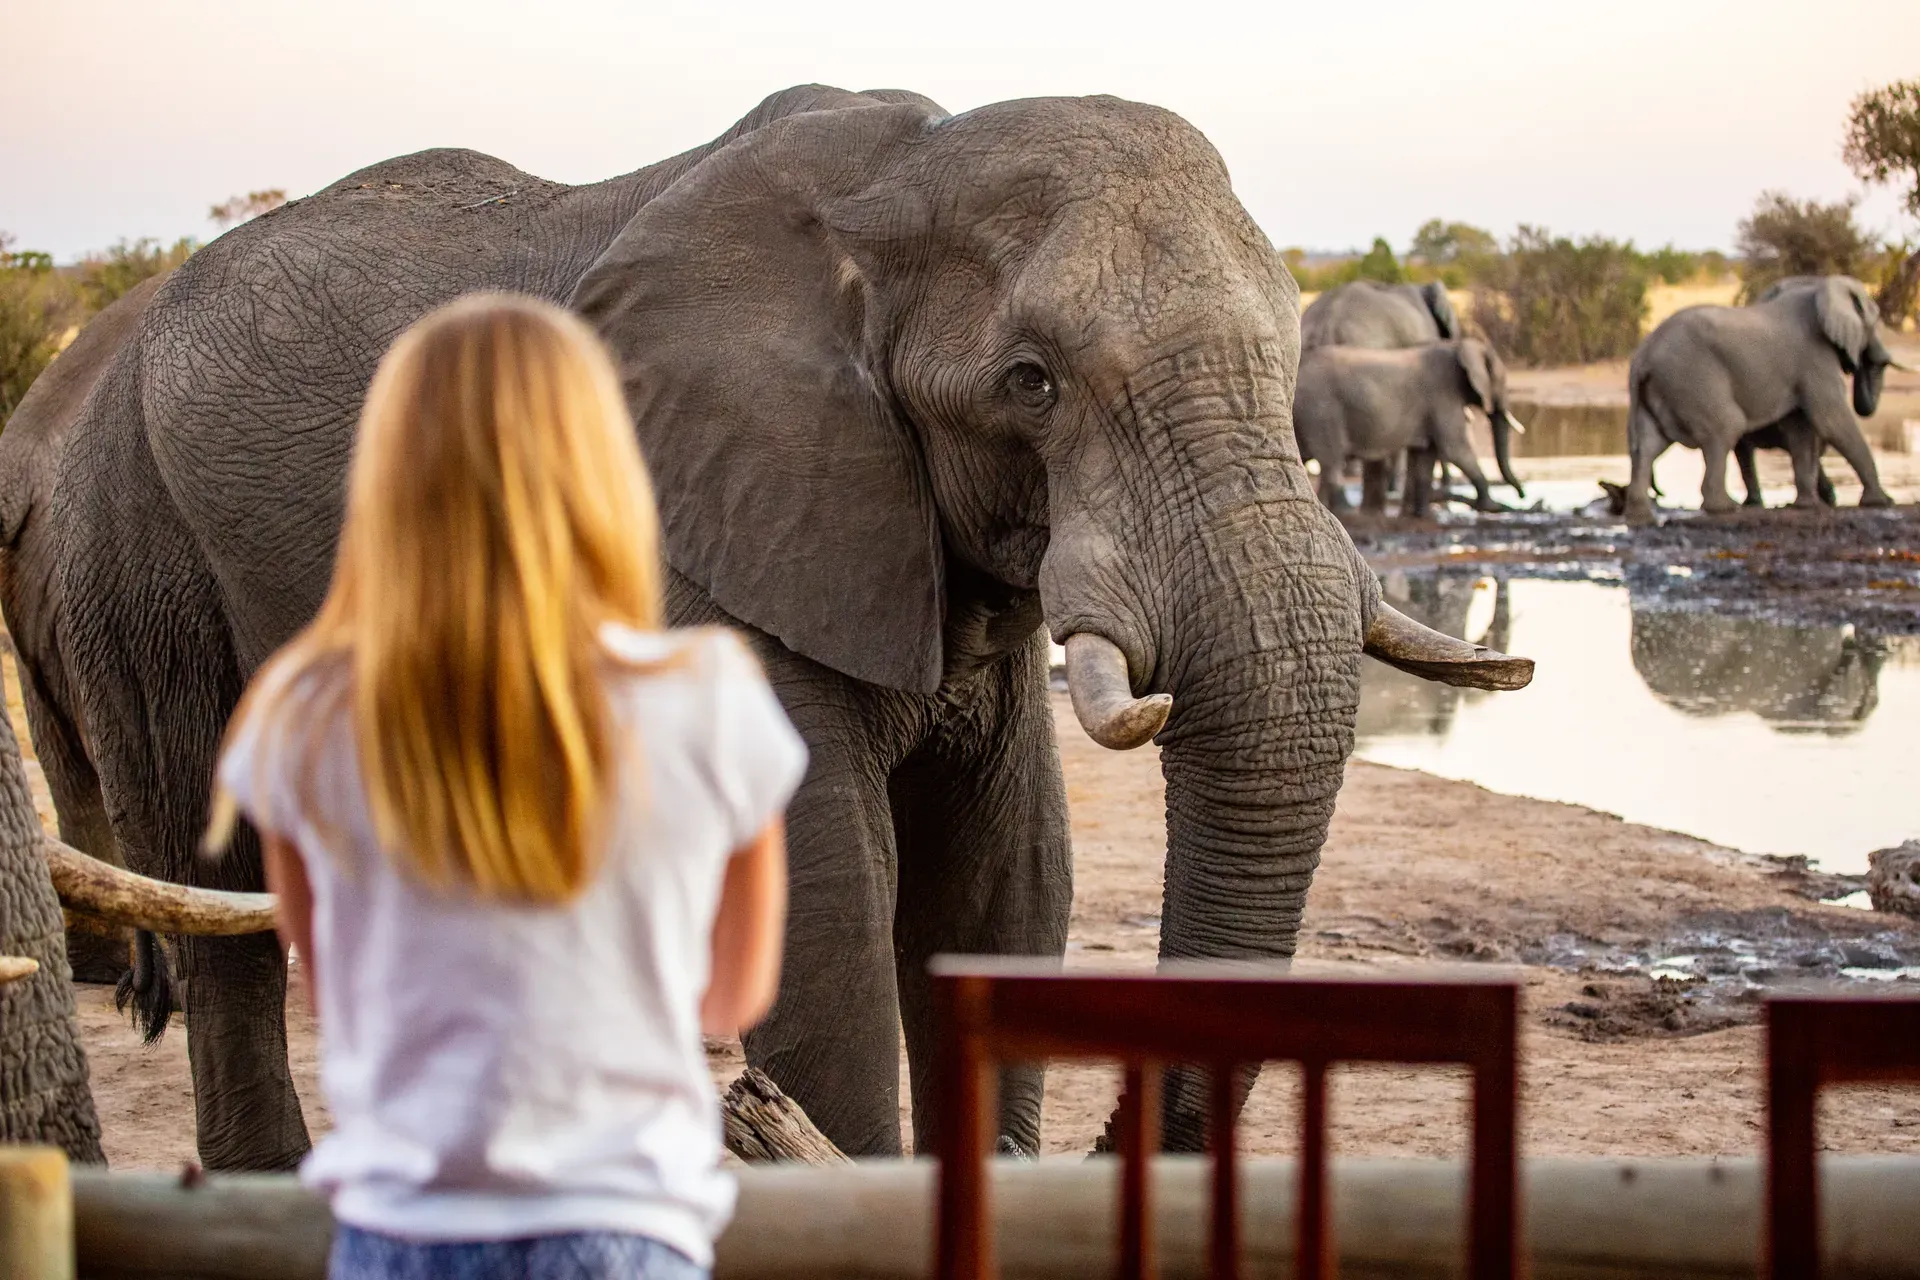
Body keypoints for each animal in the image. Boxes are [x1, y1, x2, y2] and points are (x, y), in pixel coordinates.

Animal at [1294, 338, 1527, 515]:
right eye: (1502, 383)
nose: (1522, 495)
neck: (1457, 346)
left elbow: (1425, 456)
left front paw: (1422, 514)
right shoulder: (1444, 395)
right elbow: (1455, 450)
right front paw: (1492, 507)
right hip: (1321, 411)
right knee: (1332, 462)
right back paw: (1345, 511)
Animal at [1624, 275, 1900, 524]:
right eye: (1875, 320)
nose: (1859, 363)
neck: (1820, 288)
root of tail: (1643, 356)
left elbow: (1800, 429)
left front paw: (1805, 506)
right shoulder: (1814, 358)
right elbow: (1830, 419)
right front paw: (1882, 501)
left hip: (1663, 387)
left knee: (1649, 444)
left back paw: (1640, 515)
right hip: (1692, 379)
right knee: (1726, 426)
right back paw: (1725, 508)